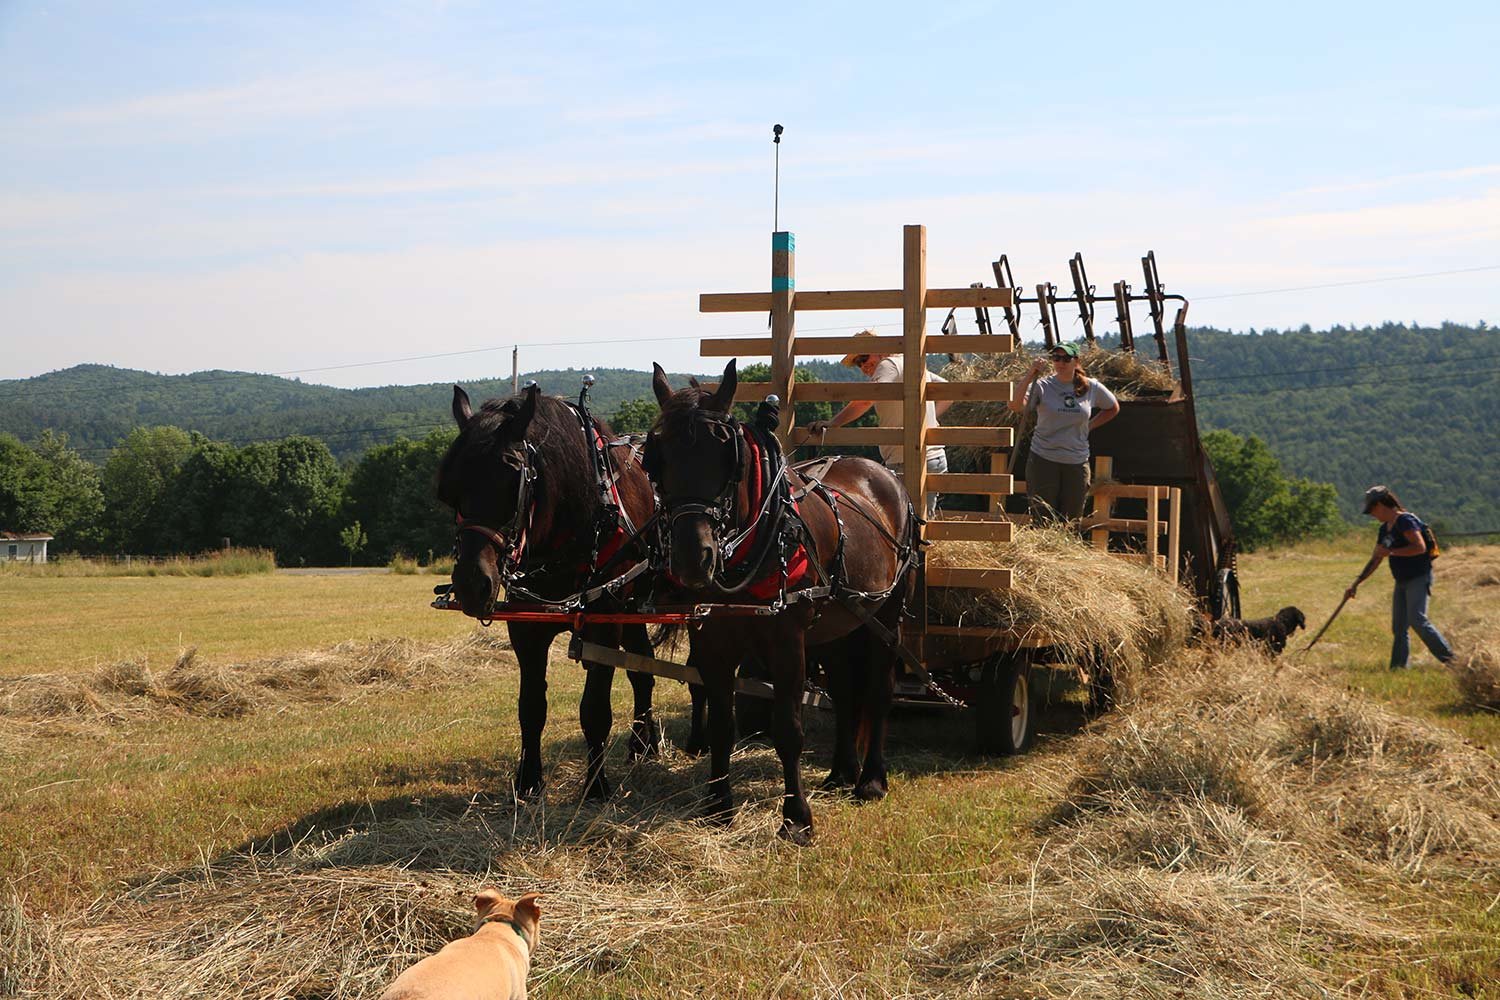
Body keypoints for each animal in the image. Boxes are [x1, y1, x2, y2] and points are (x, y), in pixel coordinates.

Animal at [437, 383, 666, 800]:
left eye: (512, 479)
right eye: (452, 488)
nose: (471, 584)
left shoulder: (604, 620)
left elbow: (594, 710)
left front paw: (596, 786)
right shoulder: (525, 627)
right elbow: (531, 707)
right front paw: (529, 781)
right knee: (642, 670)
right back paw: (642, 745)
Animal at [646, 359, 919, 843]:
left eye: (726, 454)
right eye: (659, 454)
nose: (692, 558)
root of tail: (882, 474)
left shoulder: (787, 641)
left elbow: (788, 728)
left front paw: (796, 819)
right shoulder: (713, 640)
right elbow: (722, 725)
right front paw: (718, 806)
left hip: (886, 616)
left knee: (878, 691)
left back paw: (870, 779)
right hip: (838, 623)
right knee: (846, 691)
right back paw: (840, 773)